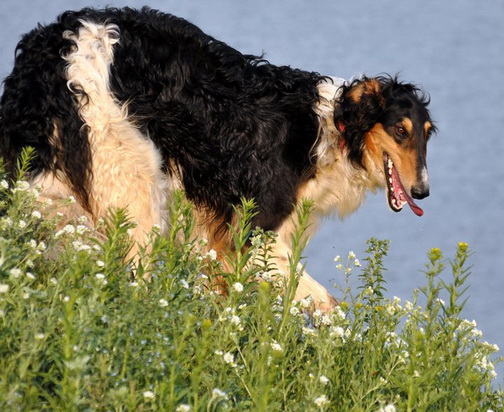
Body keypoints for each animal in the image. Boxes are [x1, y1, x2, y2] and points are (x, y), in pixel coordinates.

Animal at [0, 7, 435, 310]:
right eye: (400, 131)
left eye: (427, 135)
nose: (423, 192)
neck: (333, 129)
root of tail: (51, 50)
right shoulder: (250, 236)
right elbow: (328, 304)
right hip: (132, 188)